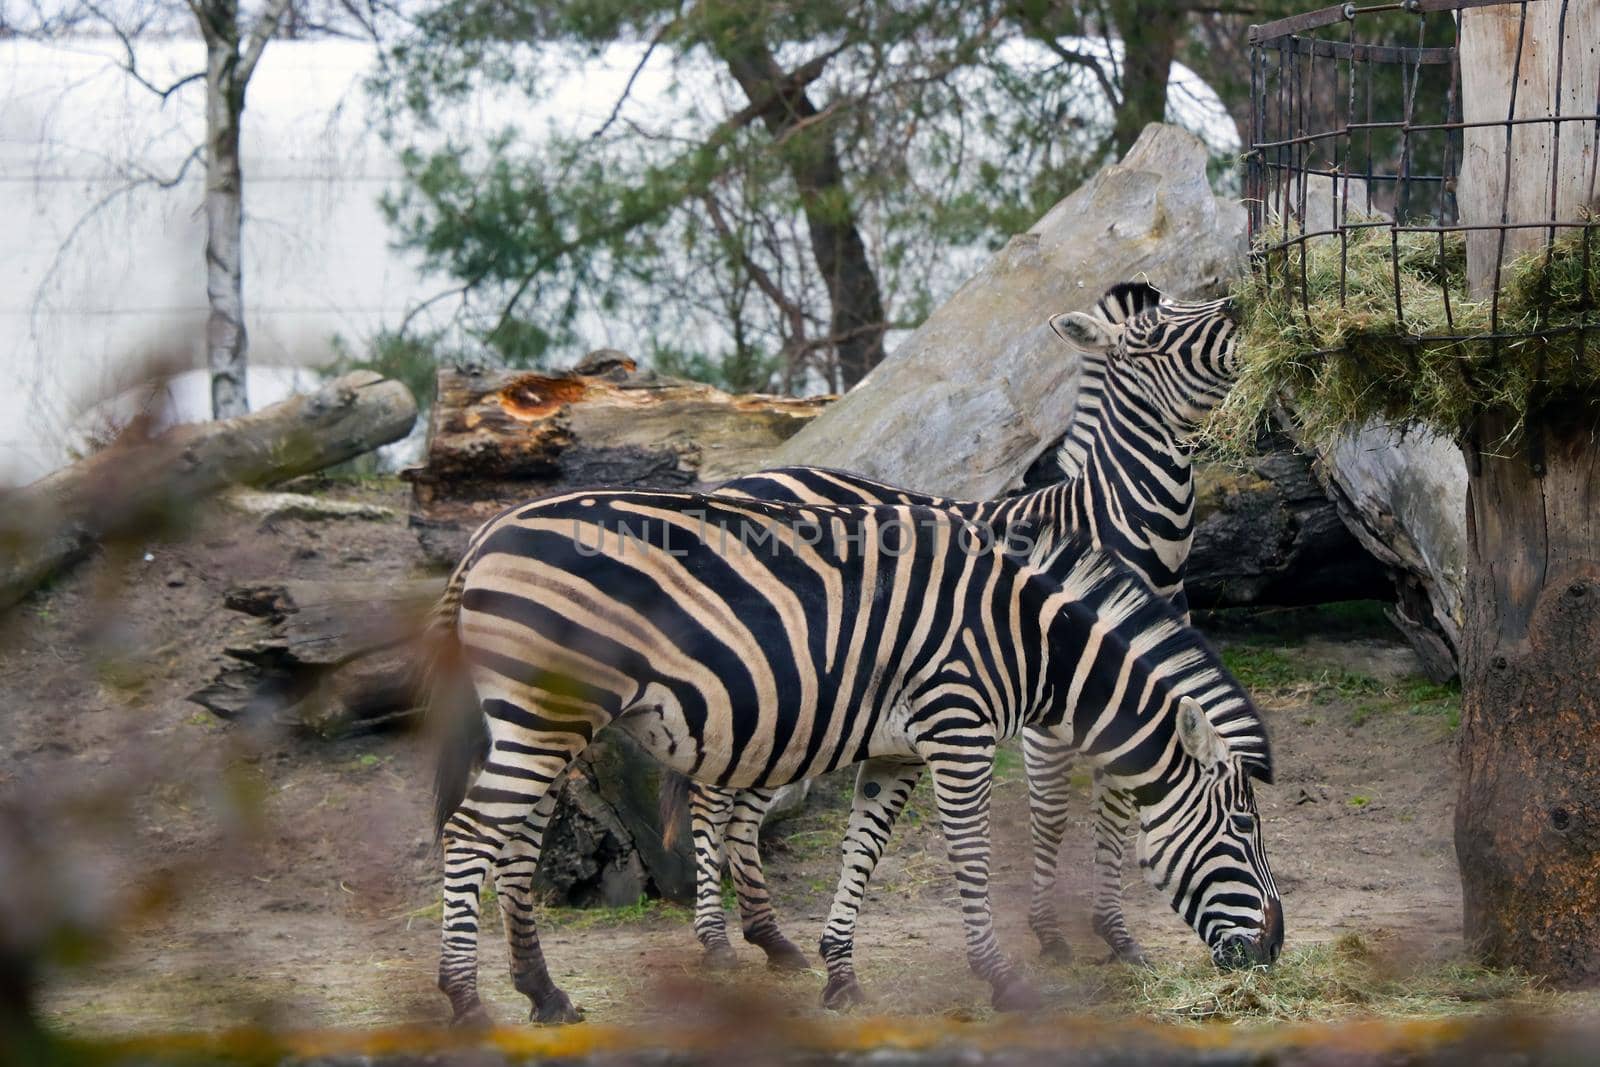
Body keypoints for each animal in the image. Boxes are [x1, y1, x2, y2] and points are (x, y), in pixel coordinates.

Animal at [432, 495, 1280, 1023]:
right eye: (1243, 831)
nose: (1272, 950)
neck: (1030, 640)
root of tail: (484, 539)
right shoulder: (958, 725)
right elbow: (970, 855)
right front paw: (1002, 976)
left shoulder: (896, 750)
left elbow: (861, 853)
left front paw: (838, 971)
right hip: (547, 717)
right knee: (470, 836)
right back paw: (466, 1002)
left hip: (547, 724)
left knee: (515, 846)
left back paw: (544, 994)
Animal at [668, 279, 1241, 972]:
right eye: (1154, 333)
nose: (1241, 306)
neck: (1131, 541)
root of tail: (743, 478)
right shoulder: (1053, 700)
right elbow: (1051, 813)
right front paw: (1050, 935)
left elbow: (1117, 810)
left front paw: (1118, 936)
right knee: (711, 797)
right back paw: (716, 940)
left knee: (747, 798)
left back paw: (772, 939)